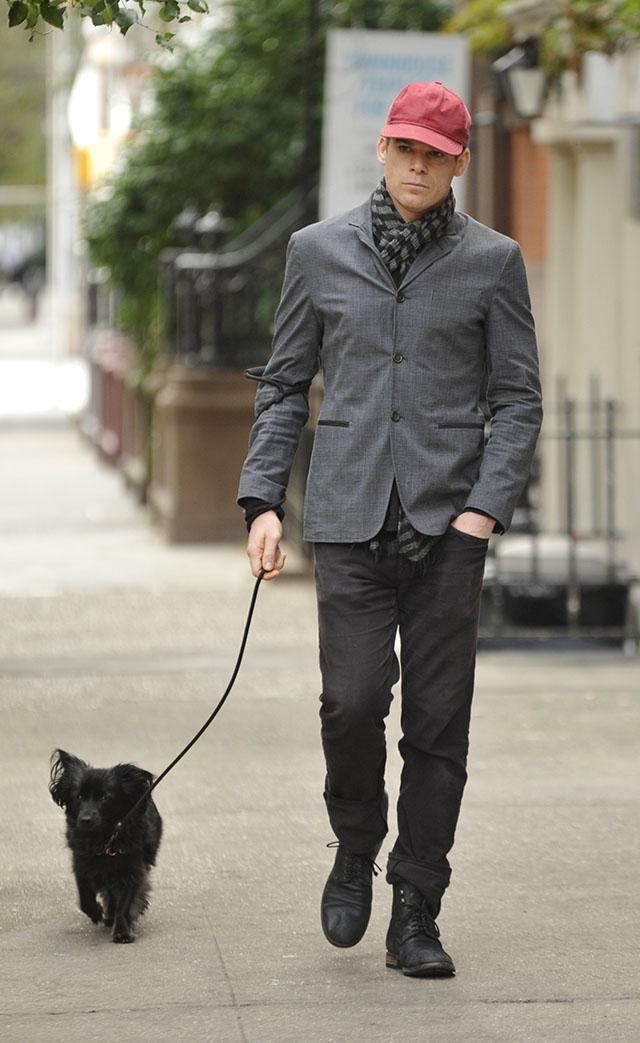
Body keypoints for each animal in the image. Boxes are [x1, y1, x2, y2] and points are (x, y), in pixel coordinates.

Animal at [49, 746, 162, 942]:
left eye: (104, 797)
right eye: (79, 796)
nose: (85, 819)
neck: (104, 837)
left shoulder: (132, 868)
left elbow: (125, 902)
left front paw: (122, 931)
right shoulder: (82, 864)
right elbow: (85, 897)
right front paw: (96, 912)